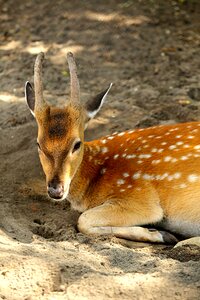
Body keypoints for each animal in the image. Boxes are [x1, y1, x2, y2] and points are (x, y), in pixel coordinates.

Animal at [25, 51, 200, 244]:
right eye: (38, 144)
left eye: (77, 144)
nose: (55, 189)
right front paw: (160, 233)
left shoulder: (140, 198)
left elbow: (83, 220)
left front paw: (161, 234)